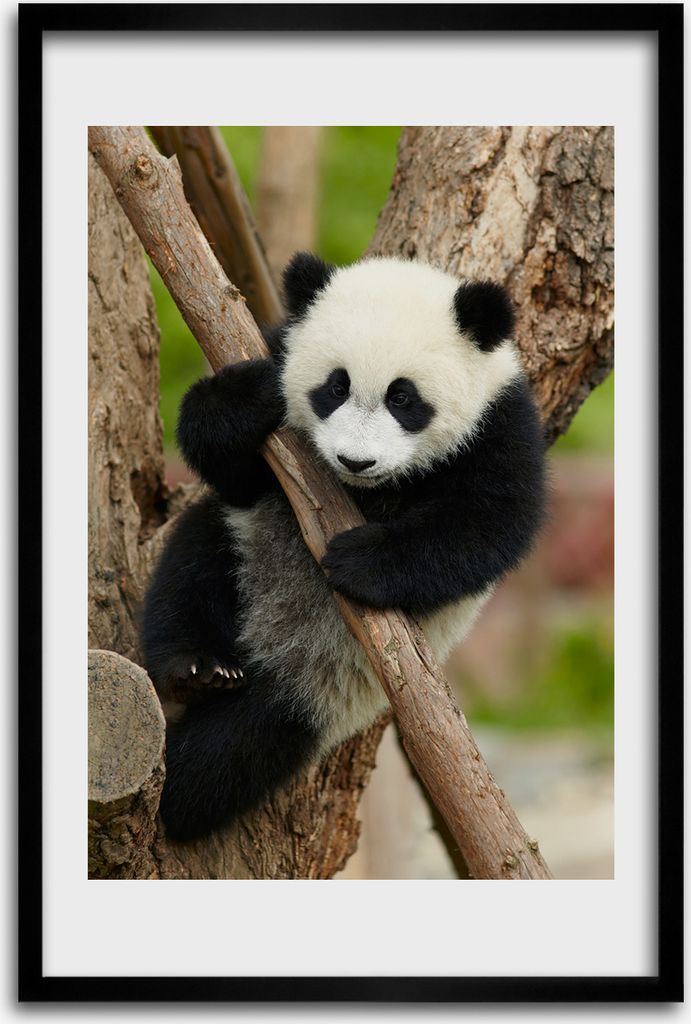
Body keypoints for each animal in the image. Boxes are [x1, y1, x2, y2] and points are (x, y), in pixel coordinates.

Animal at [141, 252, 546, 841]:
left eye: (403, 398)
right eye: (335, 387)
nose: (356, 461)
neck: (368, 492)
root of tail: (269, 650)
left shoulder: (499, 423)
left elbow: (490, 523)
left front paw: (360, 560)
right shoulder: (274, 377)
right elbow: (231, 464)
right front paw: (242, 401)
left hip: (332, 689)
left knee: (249, 742)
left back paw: (182, 794)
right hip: (242, 542)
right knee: (190, 570)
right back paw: (195, 668)